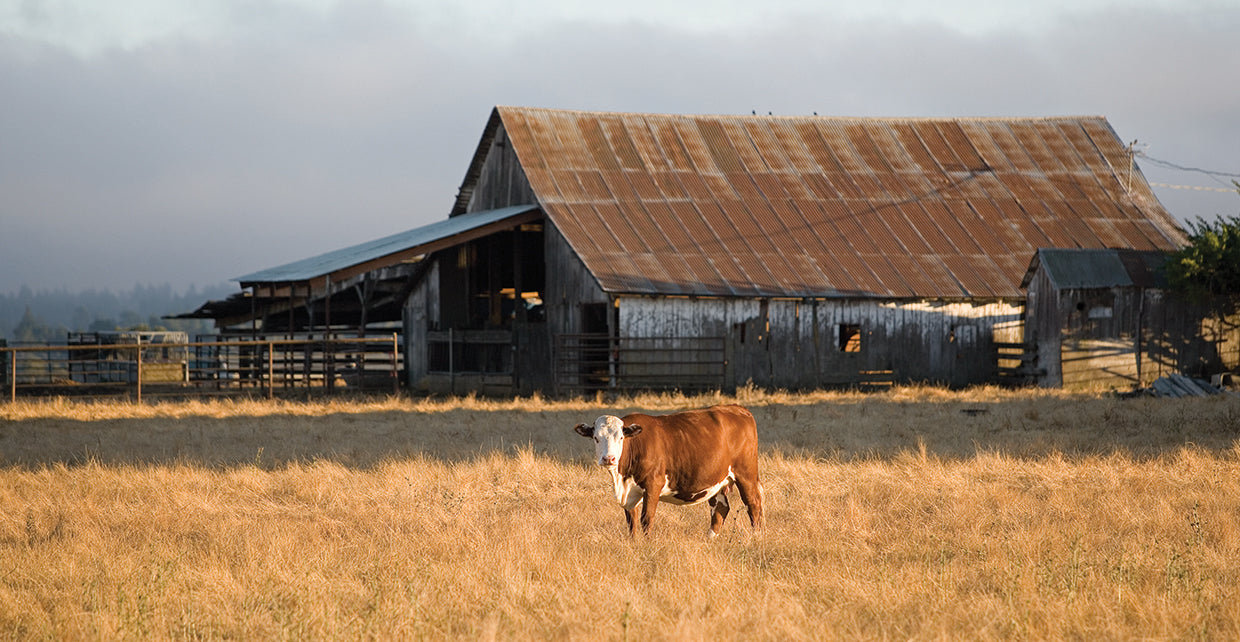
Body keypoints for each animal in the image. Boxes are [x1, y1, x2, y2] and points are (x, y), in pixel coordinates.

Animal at [574, 404, 764, 537]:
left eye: (621, 437)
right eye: (596, 438)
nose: (609, 458)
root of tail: (737, 408)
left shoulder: (653, 484)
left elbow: (646, 519)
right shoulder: (629, 493)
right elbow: (631, 522)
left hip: (745, 474)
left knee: (753, 504)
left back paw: (756, 537)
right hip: (717, 480)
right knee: (720, 509)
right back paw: (709, 540)